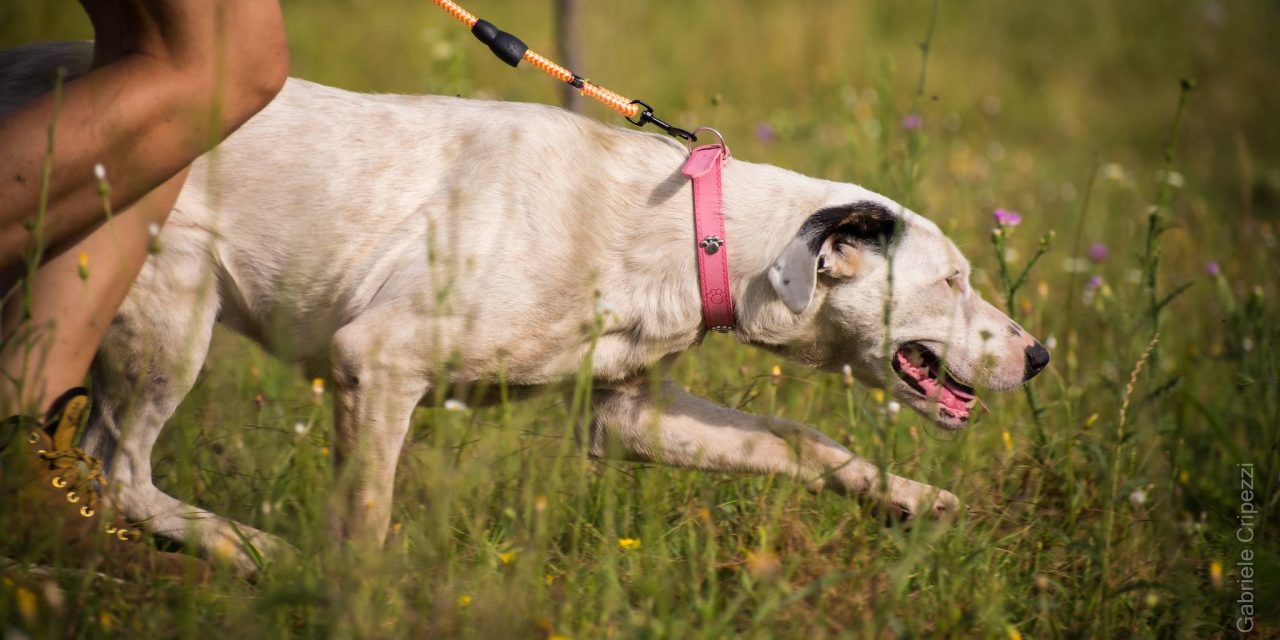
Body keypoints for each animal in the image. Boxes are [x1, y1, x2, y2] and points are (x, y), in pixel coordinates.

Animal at [2, 41, 1049, 570]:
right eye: (954, 281)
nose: (1039, 355)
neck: (693, 228)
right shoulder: (374, 362)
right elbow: (368, 522)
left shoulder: (628, 414)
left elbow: (807, 443)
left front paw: (915, 501)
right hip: (169, 316)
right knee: (118, 467)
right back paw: (237, 543)